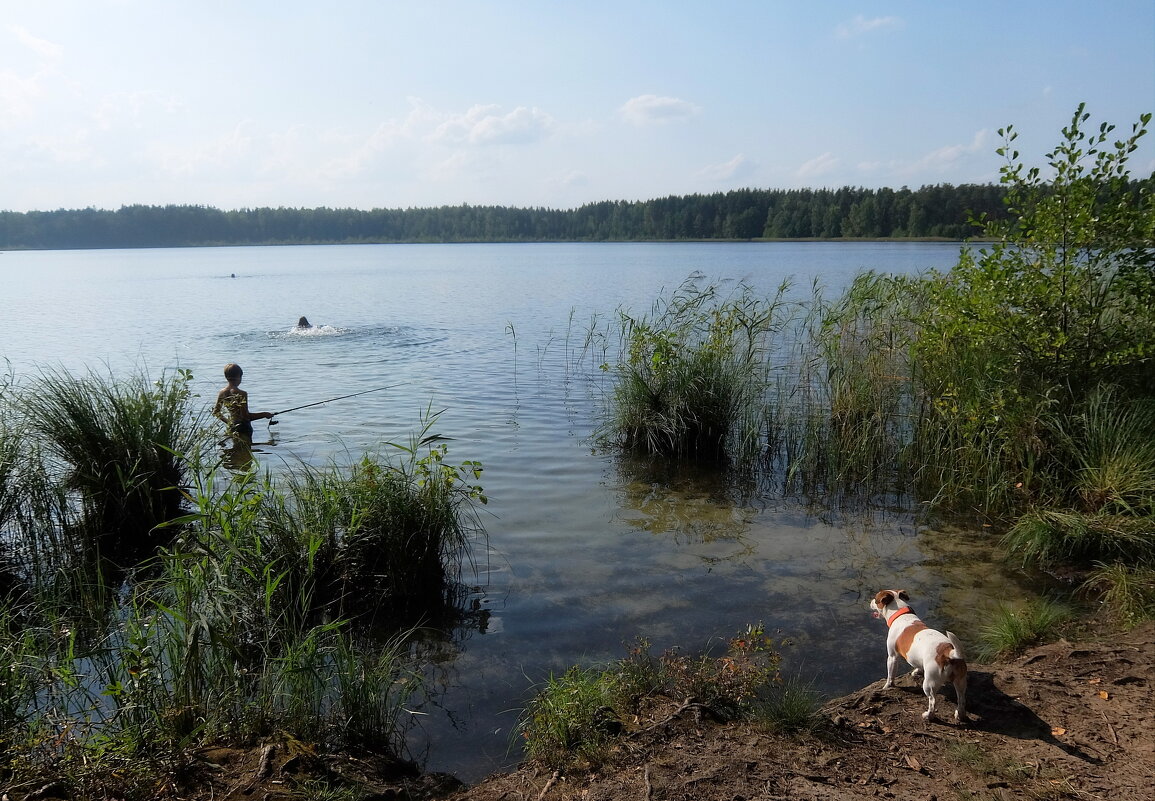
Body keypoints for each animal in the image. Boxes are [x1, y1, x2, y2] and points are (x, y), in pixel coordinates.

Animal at [868, 590, 970, 729]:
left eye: (875, 599)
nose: (870, 602)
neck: (900, 614)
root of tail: (948, 652)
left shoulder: (892, 657)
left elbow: (890, 676)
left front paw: (887, 686)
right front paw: (917, 671)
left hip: (929, 684)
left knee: (933, 701)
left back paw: (928, 716)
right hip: (960, 682)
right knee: (962, 699)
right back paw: (960, 715)